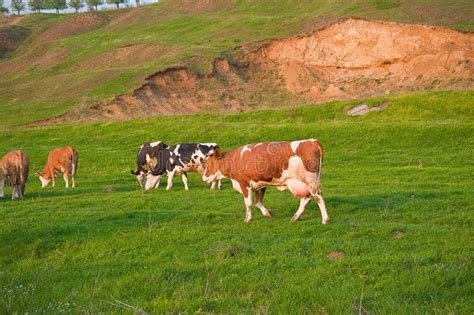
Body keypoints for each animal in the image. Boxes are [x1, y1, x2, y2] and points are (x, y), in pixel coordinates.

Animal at [201, 141, 330, 225]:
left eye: (207, 163)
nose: (203, 178)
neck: (235, 159)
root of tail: (312, 141)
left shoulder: (244, 184)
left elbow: (248, 203)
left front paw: (247, 219)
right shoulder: (260, 184)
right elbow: (258, 202)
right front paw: (267, 213)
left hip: (310, 182)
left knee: (318, 197)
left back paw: (325, 219)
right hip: (302, 183)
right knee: (306, 199)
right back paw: (295, 217)